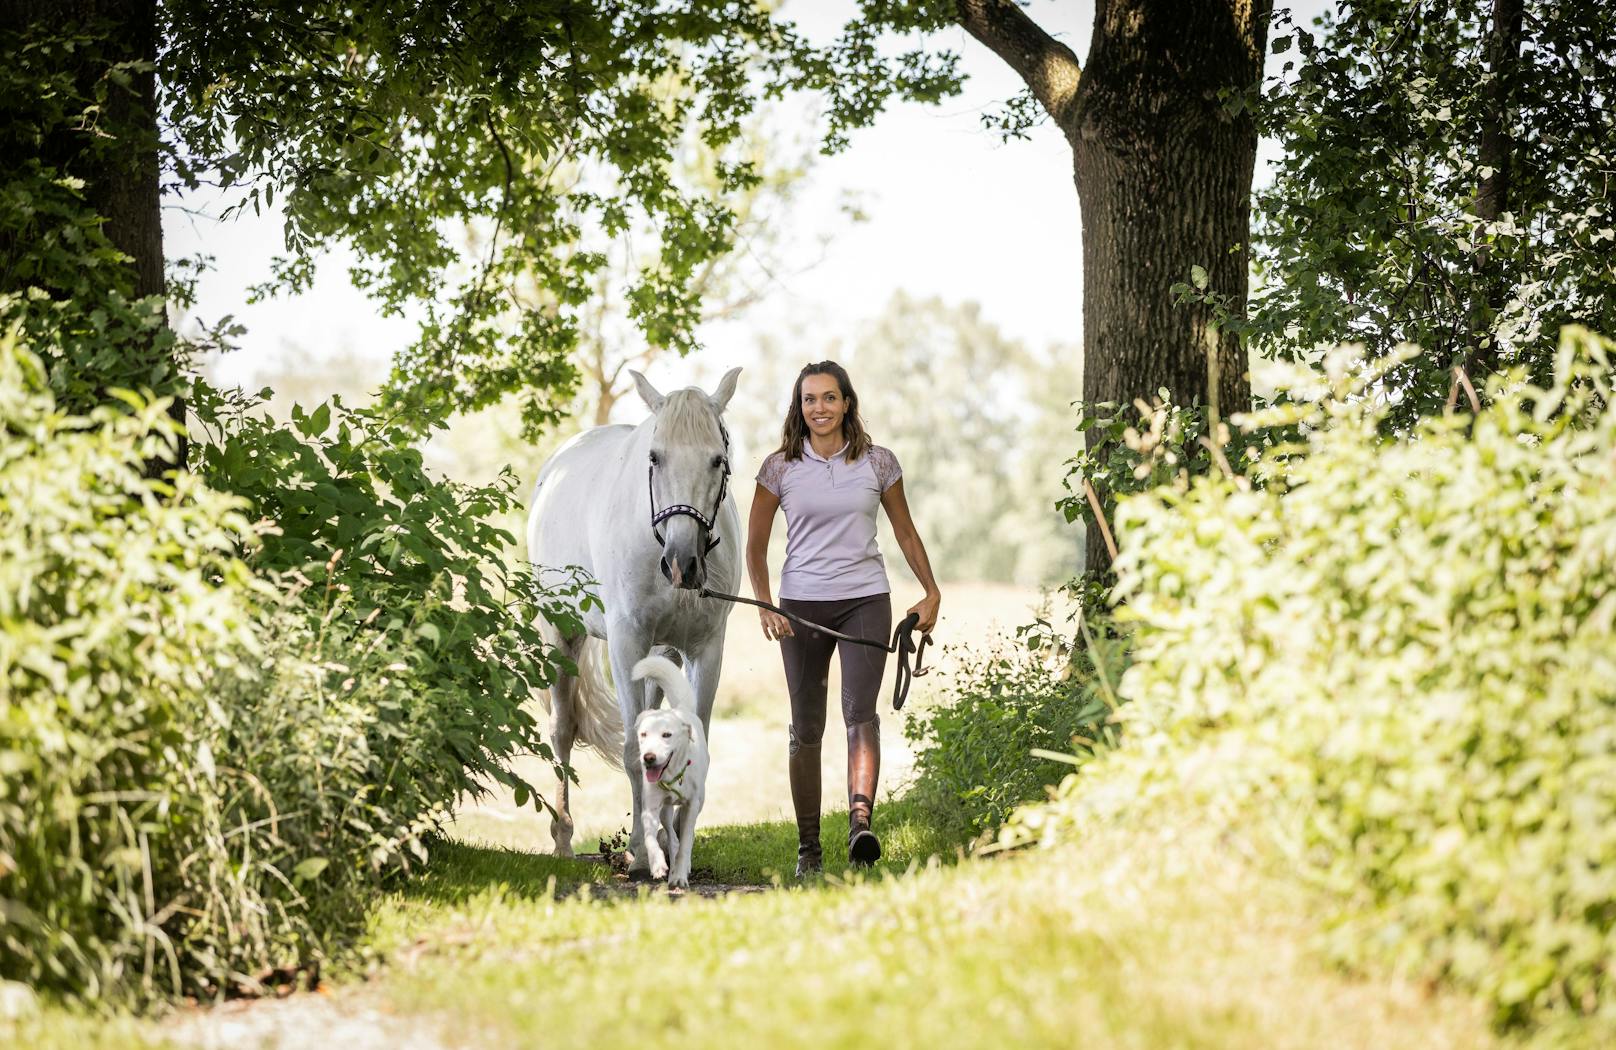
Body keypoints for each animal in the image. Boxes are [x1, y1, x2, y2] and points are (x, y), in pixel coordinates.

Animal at [630, 652, 707, 885]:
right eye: (644, 734)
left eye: (666, 735)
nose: (648, 758)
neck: (673, 775)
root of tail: (680, 710)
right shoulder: (651, 807)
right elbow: (650, 838)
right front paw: (657, 865)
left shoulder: (691, 806)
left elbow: (686, 843)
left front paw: (680, 875)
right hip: (665, 810)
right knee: (671, 837)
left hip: (700, 802)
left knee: (683, 839)